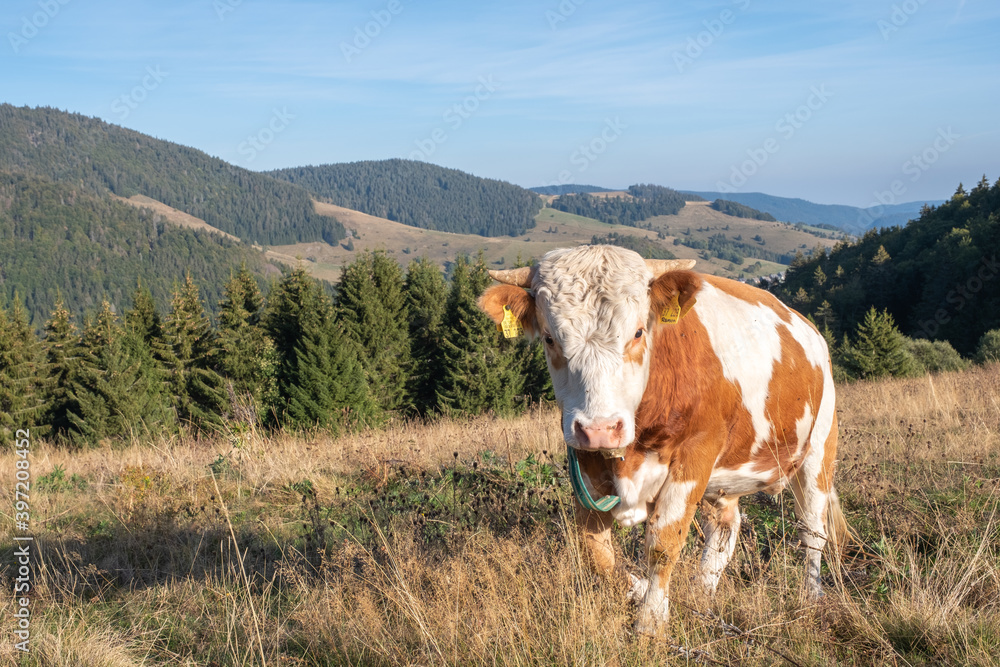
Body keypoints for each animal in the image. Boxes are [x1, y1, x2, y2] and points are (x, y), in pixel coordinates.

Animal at [480, 245, 848, 636]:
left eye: (638, 332)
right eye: (550, 338)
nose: (600, 428)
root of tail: (809, 330)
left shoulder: (696, 453)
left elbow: (663, 542)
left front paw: (650, 620)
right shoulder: (583, 459)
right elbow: (597, 552)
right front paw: (639, 590)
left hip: (819, 449)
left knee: (812, 529)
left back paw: (812, 595)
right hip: (726, 476)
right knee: (725, 528)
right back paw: (702, 595)